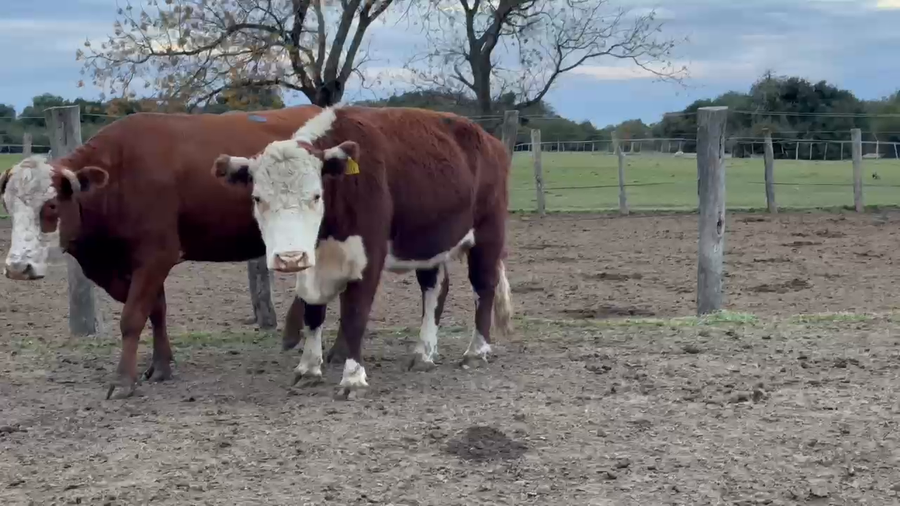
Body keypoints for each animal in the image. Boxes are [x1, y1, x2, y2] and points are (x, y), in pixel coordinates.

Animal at [213, 104, 513, 398]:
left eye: (316, 196)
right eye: (257, 198)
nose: (289, 258)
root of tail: (488, 138)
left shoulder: (368, 259)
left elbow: (355, 315)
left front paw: (352, 378)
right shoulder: (311, 262)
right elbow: (312, 312)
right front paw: (309, 369)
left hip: (488, 234)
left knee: (483, 286)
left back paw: (476, 351)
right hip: (430, 241)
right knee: (434, 289)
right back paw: (424, 353)